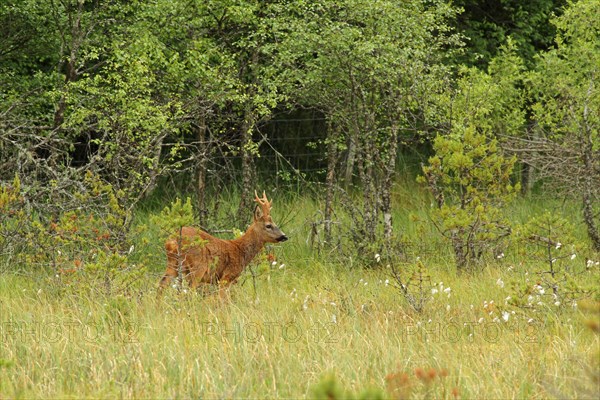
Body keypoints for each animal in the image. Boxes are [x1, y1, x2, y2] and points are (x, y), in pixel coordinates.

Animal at [157, 191, 288, 296]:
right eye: (268, 225)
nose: (284, 236)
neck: (241, 251)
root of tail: (172, 240)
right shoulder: (227, 276)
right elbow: (222, 300)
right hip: (197, 267)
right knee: (187, 291)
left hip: (173, 264)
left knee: (161, 285)